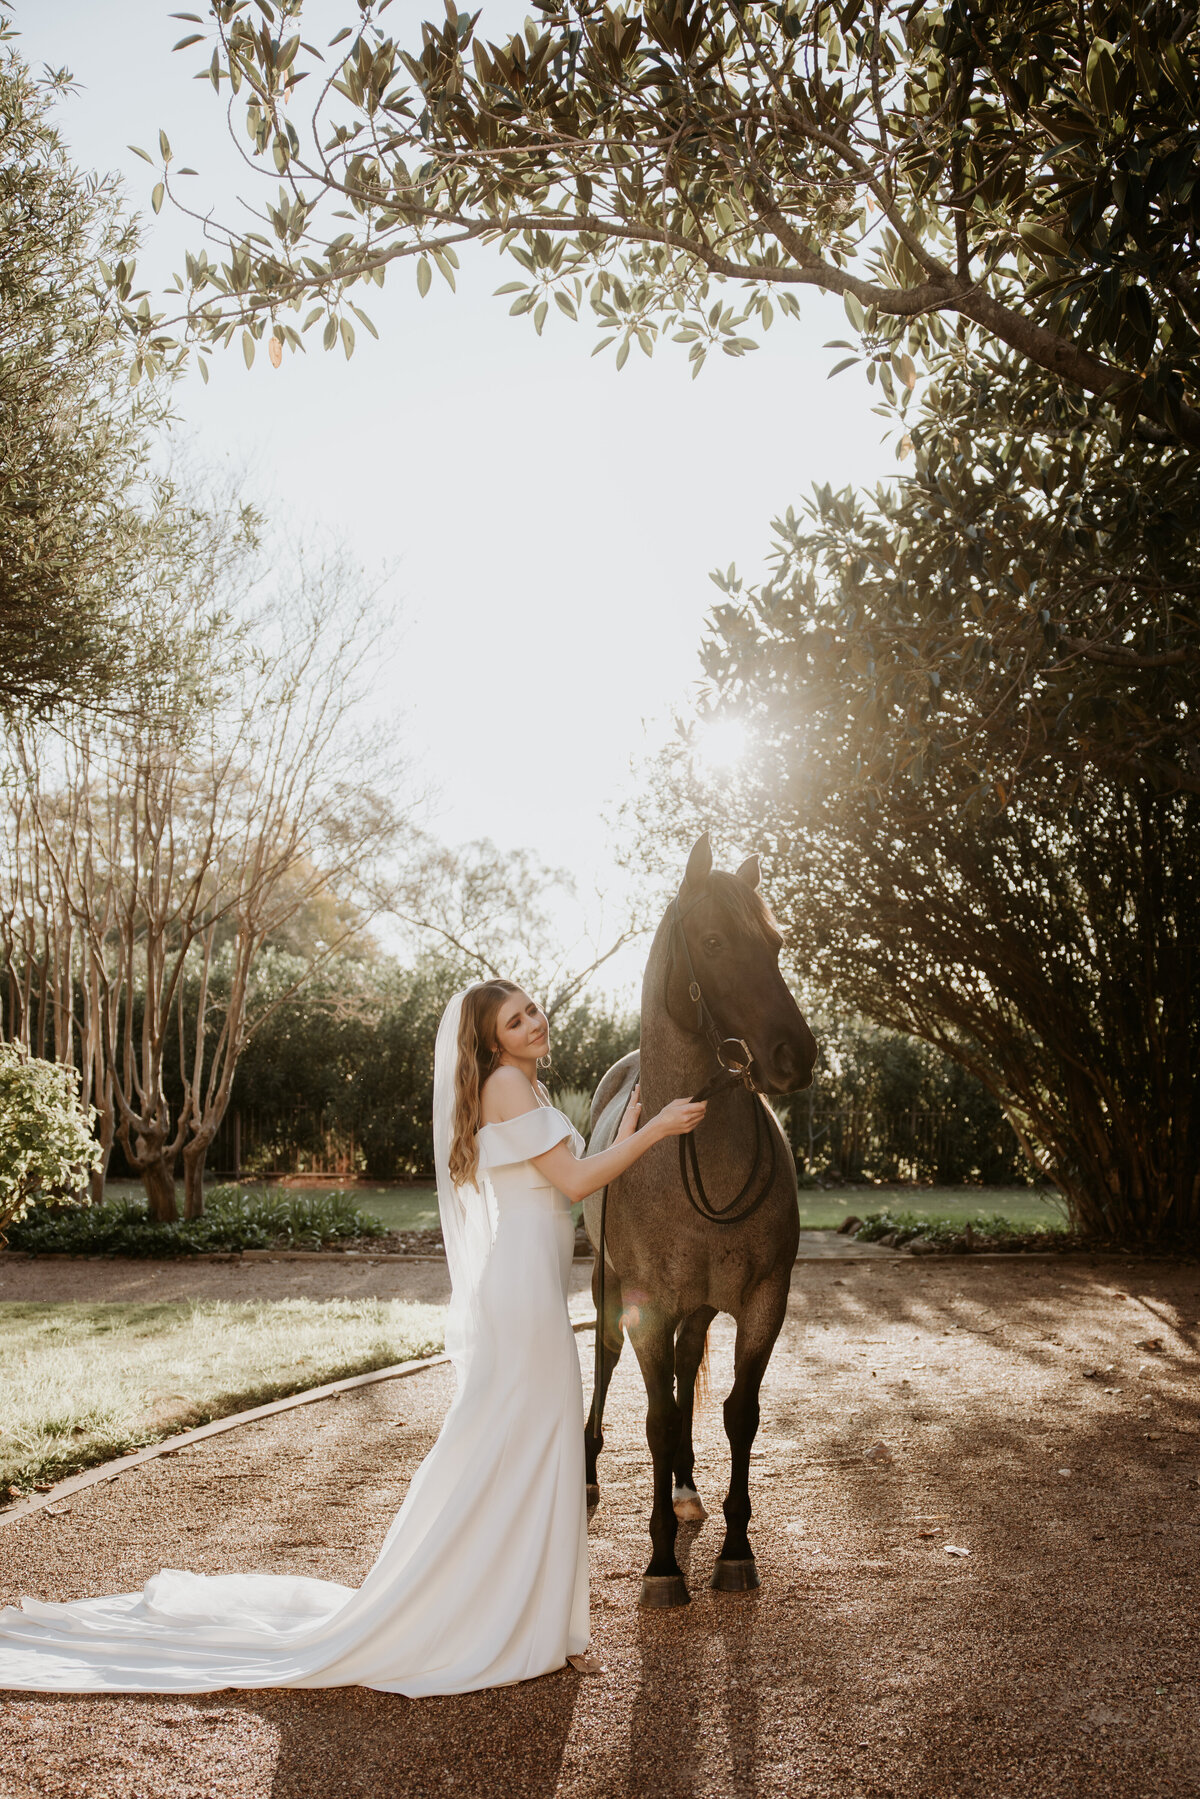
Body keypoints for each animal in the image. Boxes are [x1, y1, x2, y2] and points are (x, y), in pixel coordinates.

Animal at [582, 834, 816, 1611]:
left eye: (776, 943)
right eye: (713, 942)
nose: (795, 1054)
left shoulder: (762, 1299)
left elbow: (738, 1411)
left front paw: (736, 1551)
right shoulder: (647, 1305)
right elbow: (654, 1420)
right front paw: (662, 1565)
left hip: (702, 1305)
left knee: (688, 1367)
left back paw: (685, 1486)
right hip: (610, 1287)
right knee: (605, 1363)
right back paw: (589, 1472)